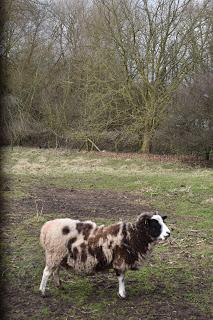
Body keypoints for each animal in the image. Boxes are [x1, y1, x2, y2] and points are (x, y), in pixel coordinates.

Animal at [39, 211, 171, 298]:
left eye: (163, 222)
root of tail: (46, 227)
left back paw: (59, 286)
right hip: (55, 253)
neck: (133, 235)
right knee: (46, 272)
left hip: (59, 255)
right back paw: (42, 292)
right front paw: (122, 294)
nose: (169, 233)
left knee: (55, 271)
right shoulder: (120, 260)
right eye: (155, 225)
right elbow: (121, 277)